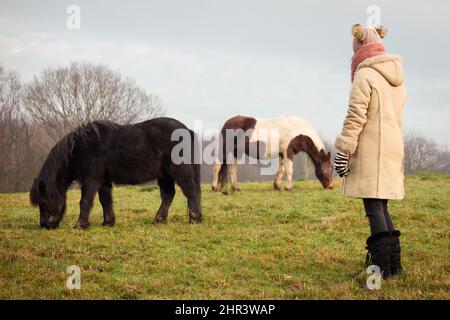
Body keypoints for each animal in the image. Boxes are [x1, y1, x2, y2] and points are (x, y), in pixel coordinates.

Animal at [30, 117, 202, 230]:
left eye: (43, 200)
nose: (44, 225)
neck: (82, 147)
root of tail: (187, 131)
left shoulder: (91, 178)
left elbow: (85, 201)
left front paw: (80, 225)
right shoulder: (103, 180)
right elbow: (105, 200)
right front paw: (108, 222)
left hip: (179, 171)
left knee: (190, 191)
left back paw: (194, 219)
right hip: (164, 175)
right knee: (168, 195)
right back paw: (158, 220)